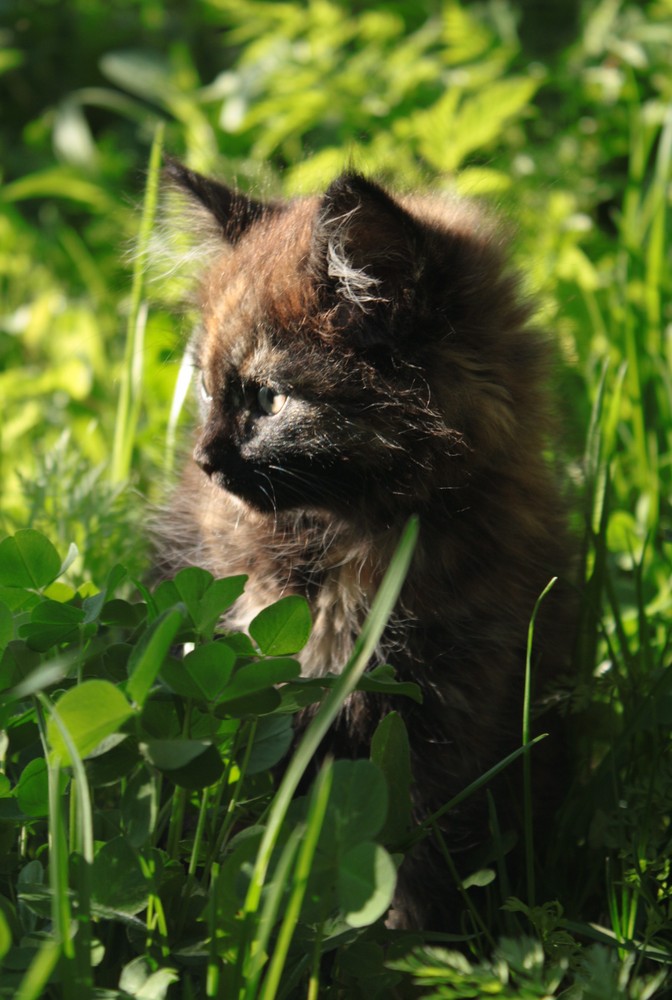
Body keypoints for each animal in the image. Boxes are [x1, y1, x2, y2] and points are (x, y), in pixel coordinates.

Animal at [156, 160, 572, 932]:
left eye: (267, 399)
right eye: (205, 388)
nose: (204, 460)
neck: (353, 543)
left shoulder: (454, 707)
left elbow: (419, 853)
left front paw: (405, 941)